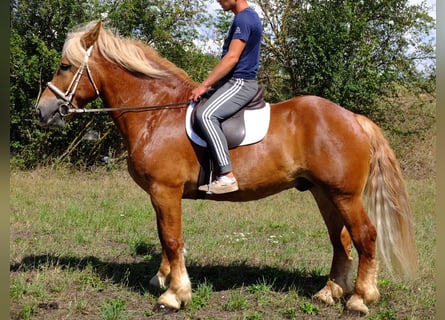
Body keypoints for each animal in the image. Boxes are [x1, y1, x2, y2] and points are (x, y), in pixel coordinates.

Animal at [35, 21, 416, 314]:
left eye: (65, 66)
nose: (42, 111)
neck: (156, 112)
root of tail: (353, 118)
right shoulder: (161, 195)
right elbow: (164, 237)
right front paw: (162, 278)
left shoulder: (165, 190)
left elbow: (172, 238)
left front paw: (174, 295)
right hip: (325, 194)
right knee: (341, 240)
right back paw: (329, 292)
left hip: (344, 195)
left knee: (365, 237)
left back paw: (359, 299)